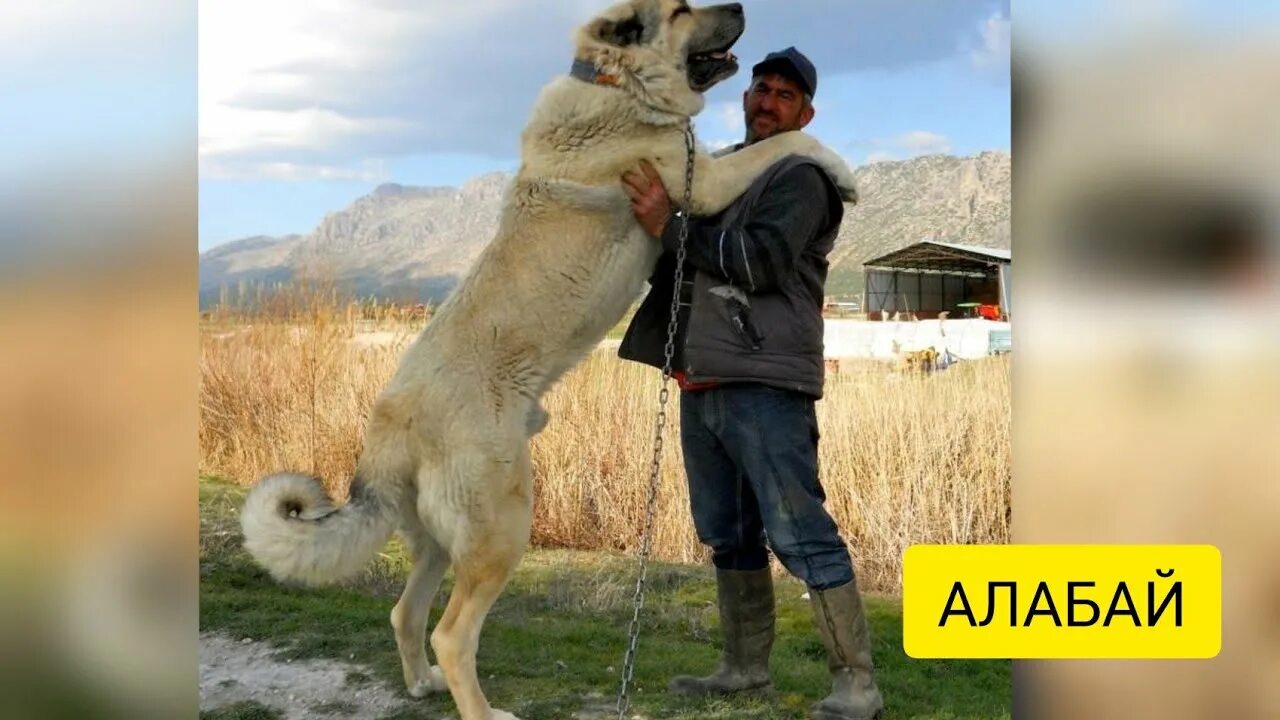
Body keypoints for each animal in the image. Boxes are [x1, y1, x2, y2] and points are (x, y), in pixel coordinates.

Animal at [240, 2, 860, 712]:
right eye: (680, 10)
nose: (740, 8)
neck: (617, 83)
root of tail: (392, 424)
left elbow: (761, 147)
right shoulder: (700, 183)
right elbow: (779, 147)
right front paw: (842, 171)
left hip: (440, 540)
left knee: (405, 612)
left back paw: (422, 684)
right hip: (502, 528)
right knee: (452, 634)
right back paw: (484, 711)